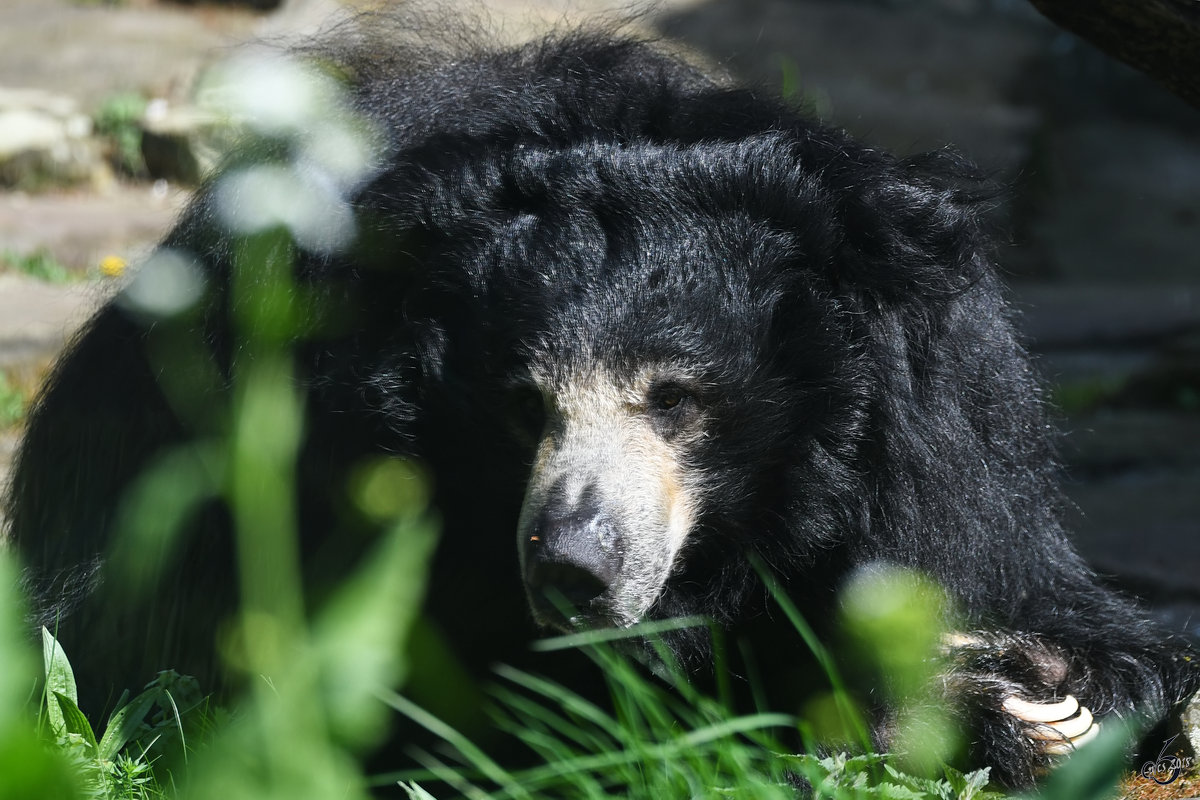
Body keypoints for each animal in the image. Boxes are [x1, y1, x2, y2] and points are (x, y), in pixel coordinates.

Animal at [4, 17, 1195, 786]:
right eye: (522, 406)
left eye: (678, 400)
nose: (571, 566)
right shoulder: (306, 459)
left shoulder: (944, 432)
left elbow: (1028, 587)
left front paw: (1048, 680)